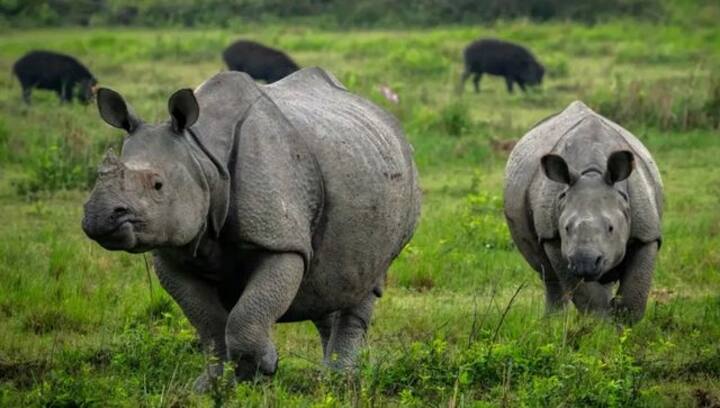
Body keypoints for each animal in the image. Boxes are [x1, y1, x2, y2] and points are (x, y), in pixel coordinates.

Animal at [81, 68, 421, 389]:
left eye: (158, 185)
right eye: (98, 176)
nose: (100, 216)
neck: (201, 157)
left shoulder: (281, 241)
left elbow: (244, 317)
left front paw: (261, 368)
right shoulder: (173, 250)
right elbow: (209, 324)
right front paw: (213, 386)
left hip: (403, 184)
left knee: (365, 281)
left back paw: (339, 381)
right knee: (325, 286)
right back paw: (328, 377)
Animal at [504, 101, 662, 323]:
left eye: (611, 228)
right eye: (566, 228)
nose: (584, 263)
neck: (592, 172)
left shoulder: (647, 233)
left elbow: (635, 291)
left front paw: (624, 325)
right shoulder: (552, 236)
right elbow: (587, 297)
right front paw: (601, 325)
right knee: (550, 276)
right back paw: (552, 322)